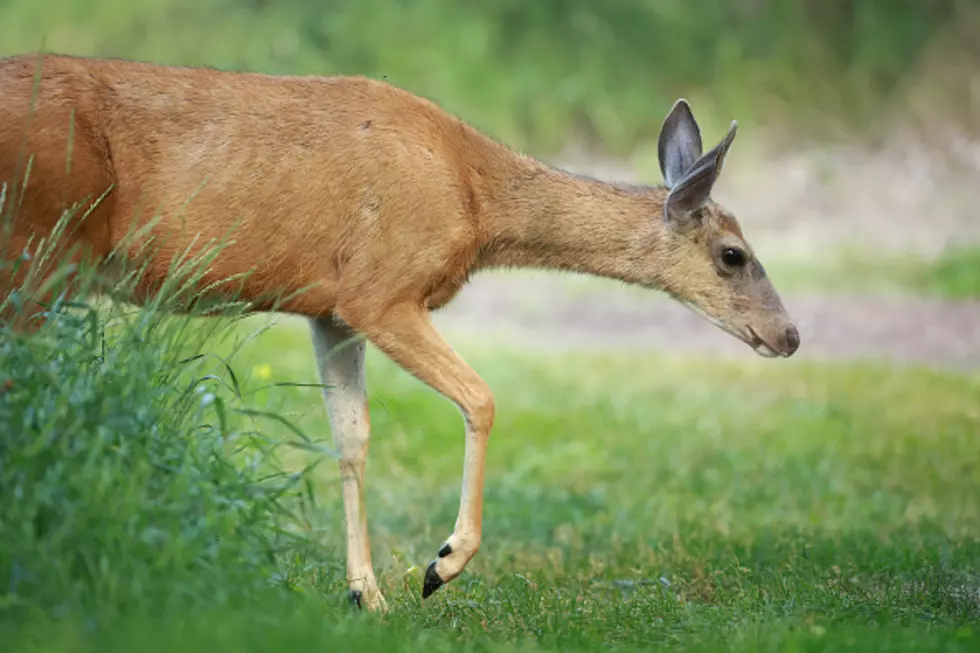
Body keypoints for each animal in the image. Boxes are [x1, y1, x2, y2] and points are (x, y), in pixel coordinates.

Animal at [0, 52, 800, 613]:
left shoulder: (330, 308)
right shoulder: (382, 290)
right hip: (38, 249)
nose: (789, 335)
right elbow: (480, 397)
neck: (474, 197)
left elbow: (351, 437)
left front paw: (366, 593)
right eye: (734, 254)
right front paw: (439, 566)